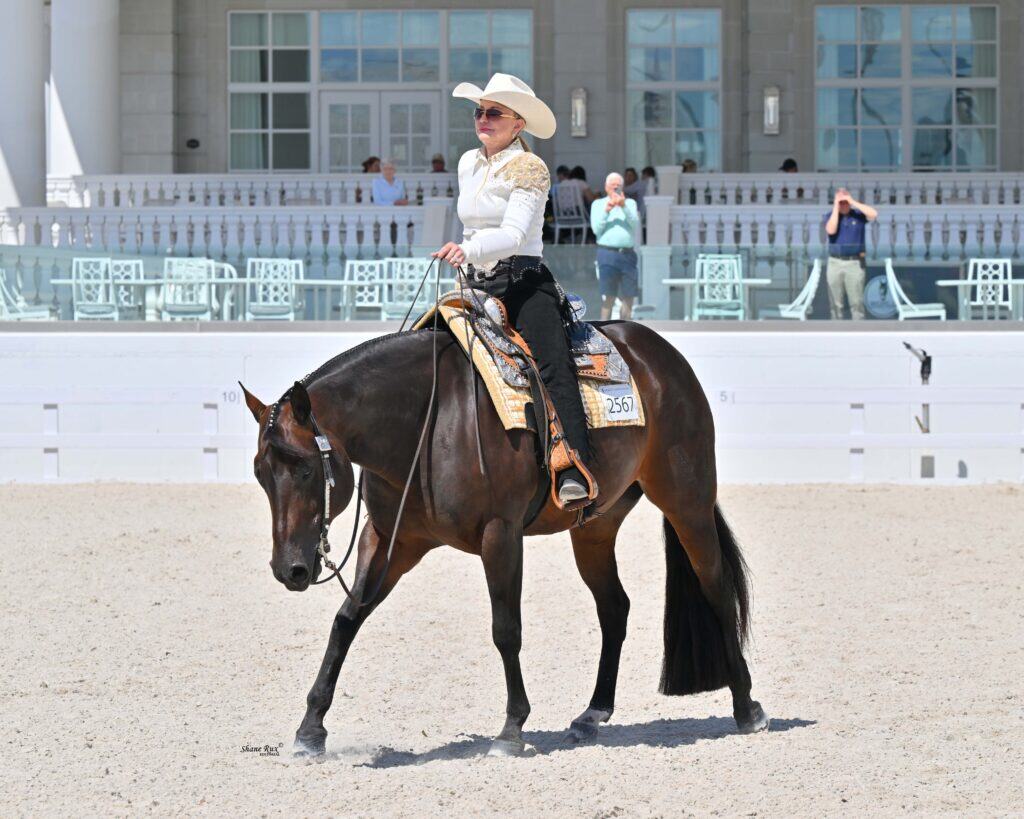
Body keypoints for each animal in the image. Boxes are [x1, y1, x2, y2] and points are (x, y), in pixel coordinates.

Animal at [241, 318, 768, 757]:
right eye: (261, 474)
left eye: (305, 467)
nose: (290, 569)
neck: (426, 423)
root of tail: (659, 353)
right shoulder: (391, 540)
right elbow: (346, 620)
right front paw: (310, 729)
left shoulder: (500, 536)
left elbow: (505, 630)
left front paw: (511, 730)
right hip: (596, 529)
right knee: (614, 607)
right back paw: (591, 715)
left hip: (687, 502)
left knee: (716, 587)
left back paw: (747, 708)